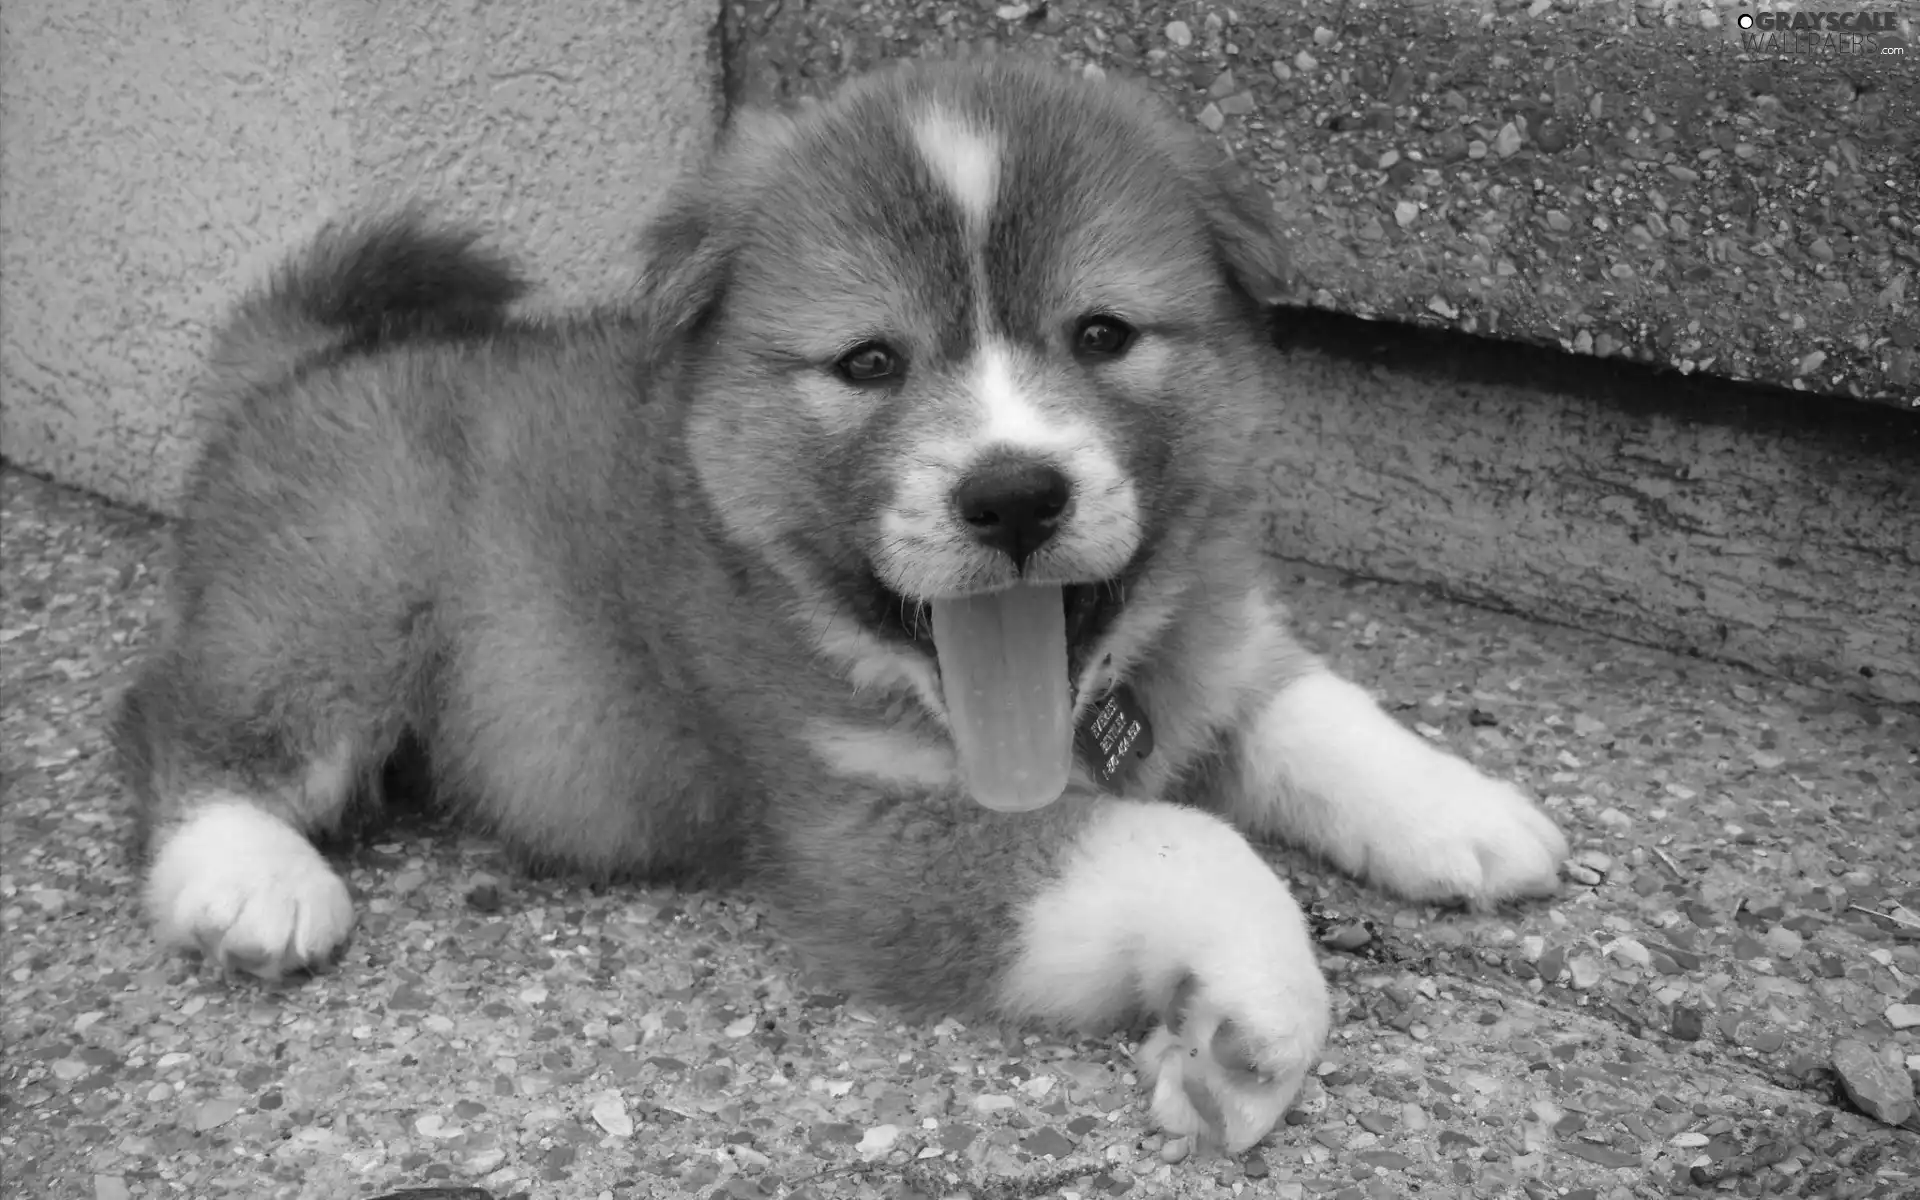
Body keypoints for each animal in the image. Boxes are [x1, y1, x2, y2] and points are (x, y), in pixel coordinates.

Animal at [112, 56, 1566, 1152]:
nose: (1013, 494)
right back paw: (248, 884)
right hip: (339, 604)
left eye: (1102, 334)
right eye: (868, 362)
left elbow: (1319, 712)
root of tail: (299, 363)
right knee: (182, 724)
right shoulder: (867, 840)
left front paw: (1469, 818)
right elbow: (1190, 845)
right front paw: (1252, 1033)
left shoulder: (1208, 646)